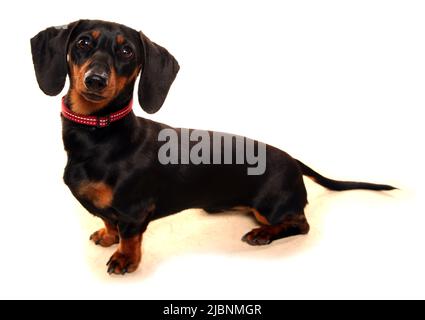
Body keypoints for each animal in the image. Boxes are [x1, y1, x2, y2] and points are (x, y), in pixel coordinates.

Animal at [30, 20, 394, 276]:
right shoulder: (112, 210)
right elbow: (108, 221)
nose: (96, 80)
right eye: (83, 42)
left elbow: (131, 236)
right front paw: (107, 236)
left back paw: (263, 234)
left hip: (271, 205)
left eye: (127, 52)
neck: (100, 136)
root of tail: (292, 159)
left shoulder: (135, 212)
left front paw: (124, 259)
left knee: (301, 224)